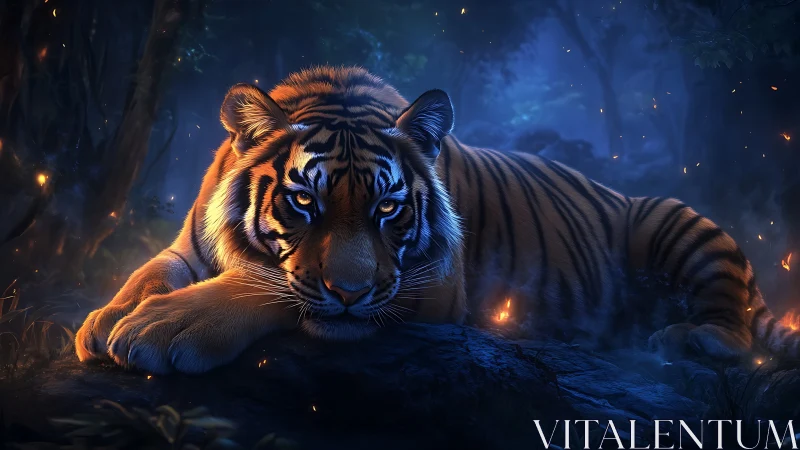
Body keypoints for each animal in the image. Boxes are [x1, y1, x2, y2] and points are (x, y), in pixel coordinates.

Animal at [75, 65, 797, 375]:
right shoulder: (187, 246)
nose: (351, 294)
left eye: (388, 208)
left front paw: (166, 327)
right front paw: (104, 319)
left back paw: (687, 338)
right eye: (304, 202)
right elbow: (147, 273)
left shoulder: (433, 285)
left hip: (674, 220)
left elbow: (266, 283)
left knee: (734, 327)